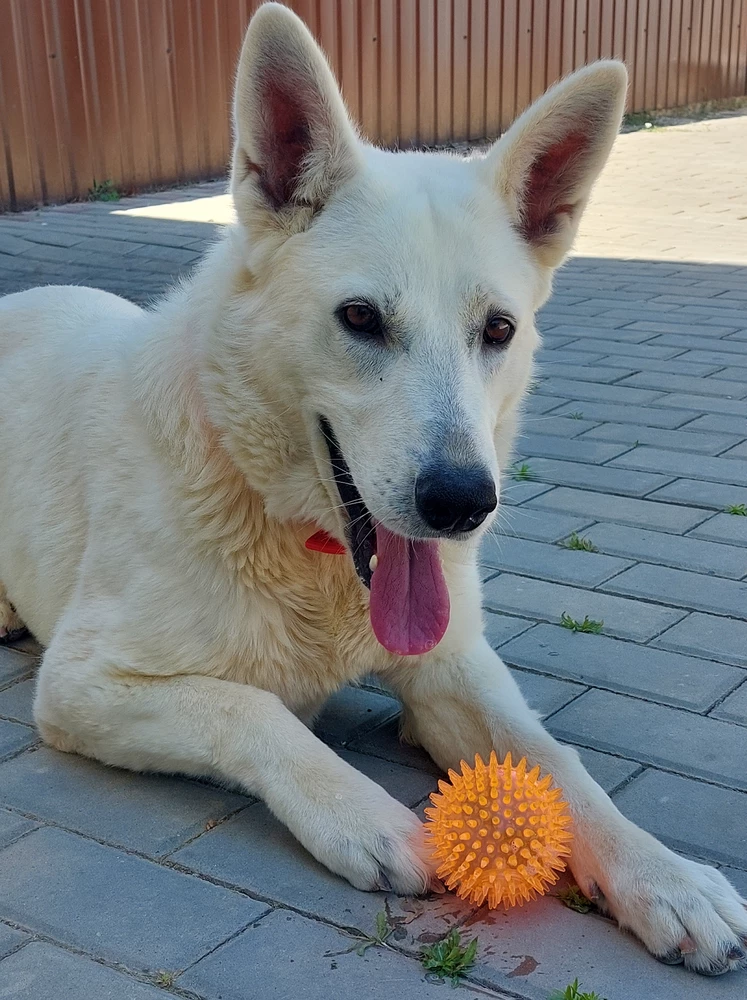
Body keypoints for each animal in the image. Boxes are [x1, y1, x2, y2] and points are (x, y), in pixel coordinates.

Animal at [0, 1, 744, 976]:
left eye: (497, 330)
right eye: (359, 319)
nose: (462, 504)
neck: (299, 544)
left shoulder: (454, 668)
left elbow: (555, 759)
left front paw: (661, 875)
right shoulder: (84, 686)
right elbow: (250, 708)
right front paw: (364, 818)